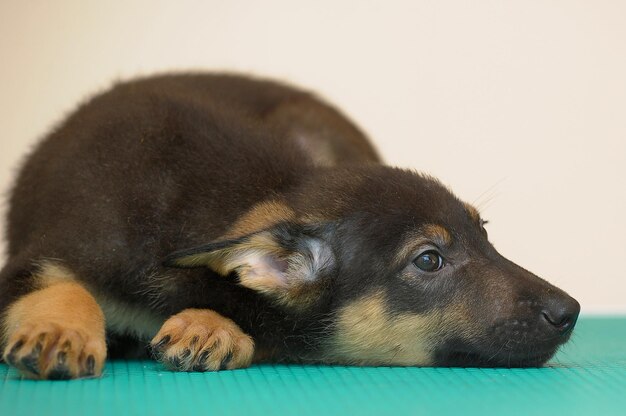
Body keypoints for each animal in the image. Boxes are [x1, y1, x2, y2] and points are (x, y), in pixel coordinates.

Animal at [0, 73, 580, 378]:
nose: (569, 312)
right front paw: (61, 330)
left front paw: (211, 326)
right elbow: (65, 285)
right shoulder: (44, 255)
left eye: (486, 235)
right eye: (429, 260)